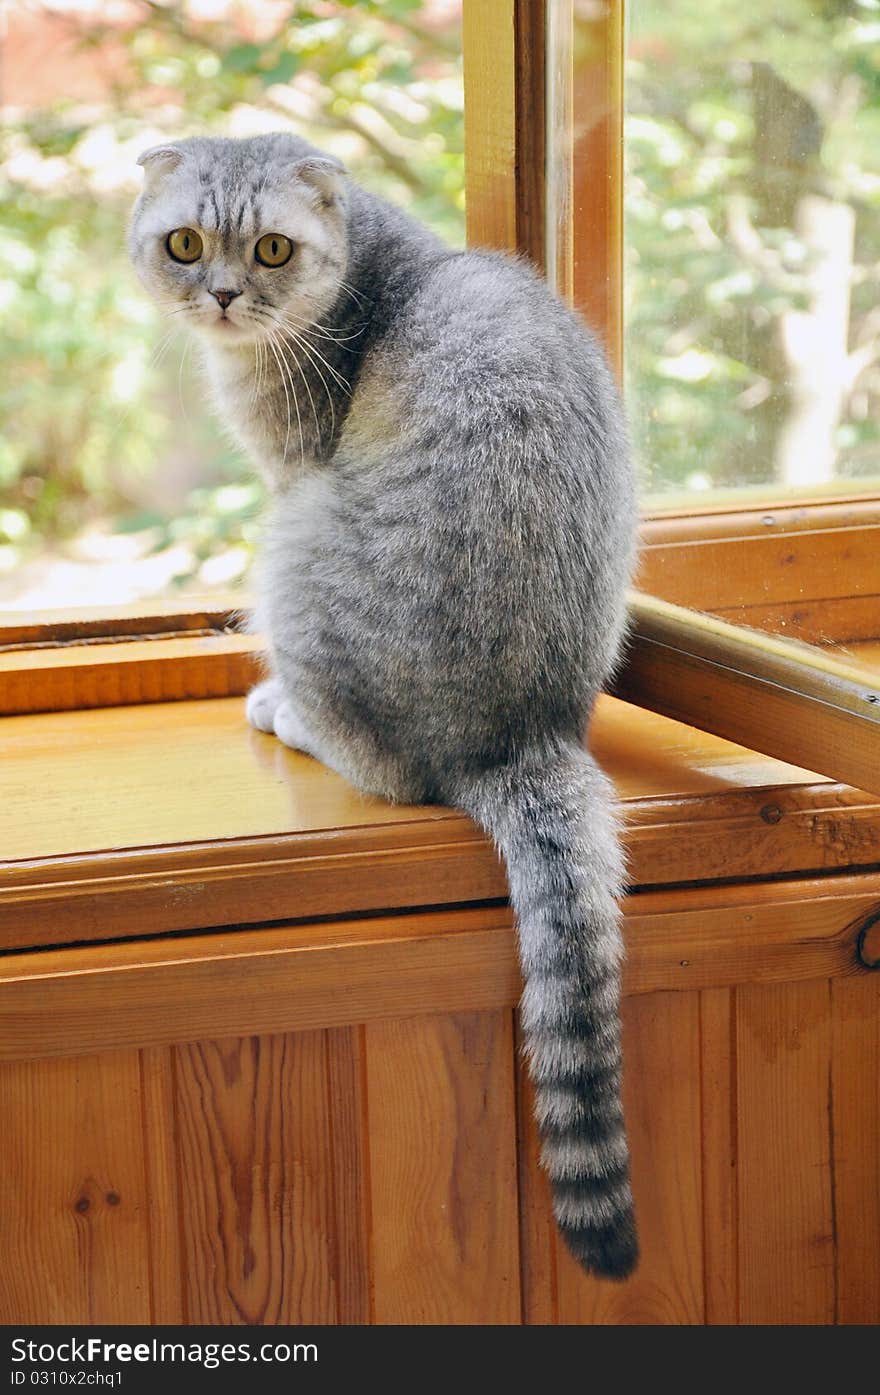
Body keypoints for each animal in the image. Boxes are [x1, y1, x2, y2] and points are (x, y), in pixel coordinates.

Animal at [129, 136, 641, 1277]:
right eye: (184, 243)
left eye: (272, 251)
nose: (222, 295)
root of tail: (521, 737)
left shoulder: (291, 471)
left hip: (299, 541)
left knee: (385, 767)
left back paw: (287, 712)